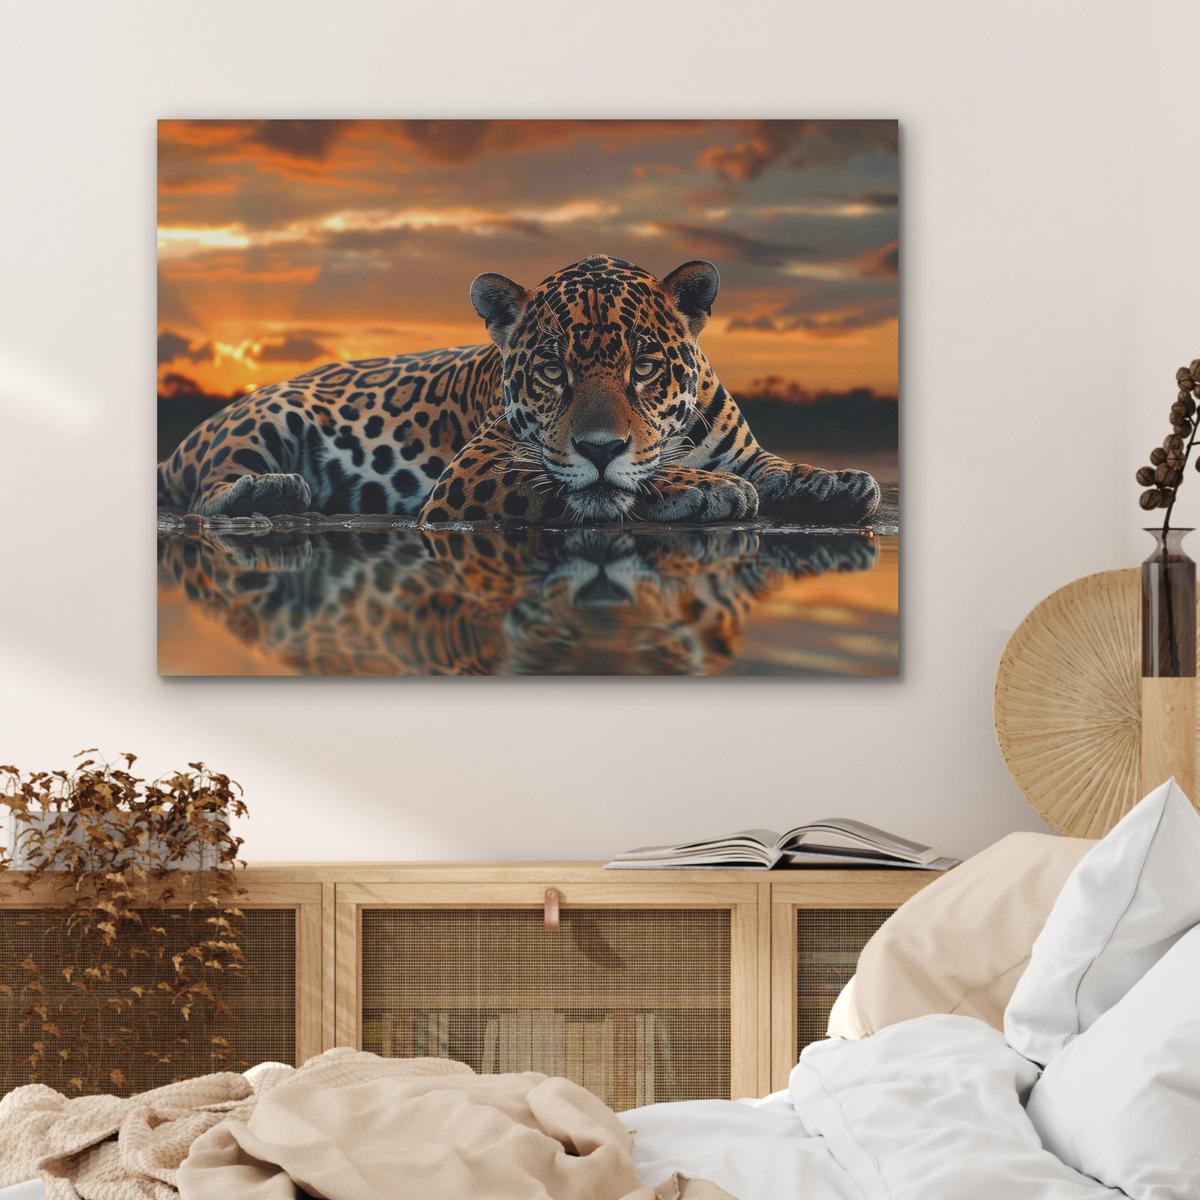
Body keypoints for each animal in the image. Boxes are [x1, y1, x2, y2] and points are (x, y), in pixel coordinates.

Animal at [157, 255, 880, 527]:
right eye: (552, 371)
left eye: (645, 366)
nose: (599, 446)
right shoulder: (475, 471)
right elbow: (611, 482)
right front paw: (704, 489)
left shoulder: (745, 451)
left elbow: (781, 468)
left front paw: (840, 482)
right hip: (263, 418)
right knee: (207, 490)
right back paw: (274, 490)